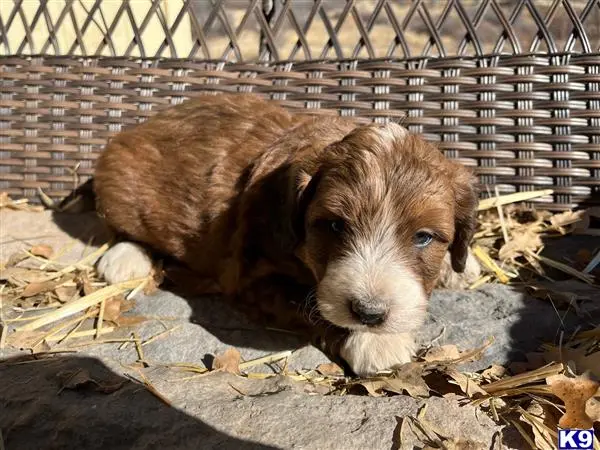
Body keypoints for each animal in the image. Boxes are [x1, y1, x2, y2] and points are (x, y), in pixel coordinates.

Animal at [94, 94, 478, 376]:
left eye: (423, 237)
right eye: (335, 226)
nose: (369, 313)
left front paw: (459, 266)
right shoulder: (251, 276)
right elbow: (310, 304)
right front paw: (374, 342)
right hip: (121, 186)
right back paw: (124, 258)